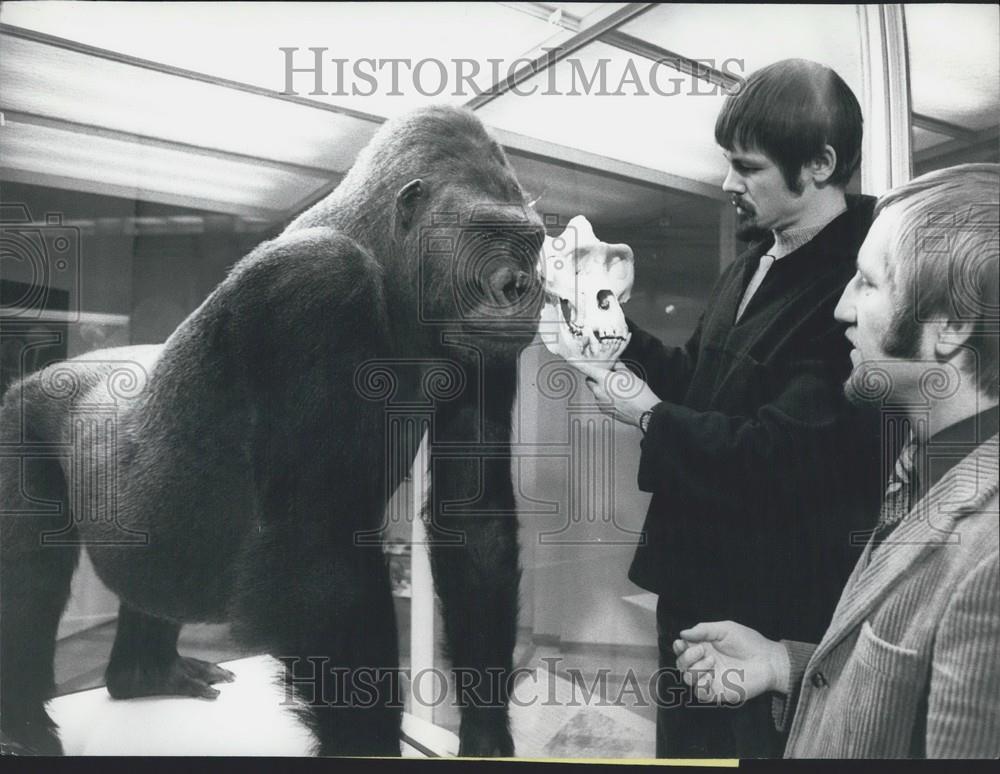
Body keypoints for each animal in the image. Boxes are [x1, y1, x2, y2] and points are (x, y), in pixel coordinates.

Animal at [1, 104, 548, 756]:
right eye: (490, 234)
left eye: (532, 243)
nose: (523, 287)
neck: (380, 254)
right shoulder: (313, 284)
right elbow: (317, 554)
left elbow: (475, 518)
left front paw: (487, 735)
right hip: (20, 414)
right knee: (28, 576)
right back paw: (23, 727)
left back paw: (141, 675)